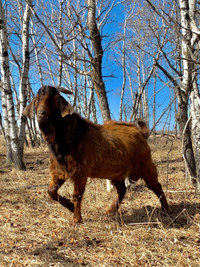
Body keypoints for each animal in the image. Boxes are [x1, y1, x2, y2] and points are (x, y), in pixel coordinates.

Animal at [23, 85, 169, 224]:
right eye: (36, 100)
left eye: (55, 100)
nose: (41, 114)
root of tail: (141, 133)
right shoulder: (59, 170)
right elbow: (51, 191)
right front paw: (70, 207)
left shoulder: (80, 172)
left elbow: (77, 195)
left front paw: (76, 219)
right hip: (117, 173)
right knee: (122, 190)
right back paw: (111, 210)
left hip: (146, 165)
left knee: (156, 186)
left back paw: (165, 209)